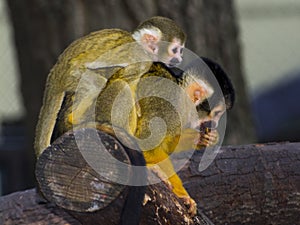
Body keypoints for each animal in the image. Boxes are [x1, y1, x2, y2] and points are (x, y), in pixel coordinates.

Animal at [34, 16, 185, 156]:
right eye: (175, 50)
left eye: (180, 51)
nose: (179, 59)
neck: (141, 46)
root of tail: (56, 73)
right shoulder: (138, 57)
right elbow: (123, 78)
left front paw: (137, 106)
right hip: (73, 75)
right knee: (99, 82)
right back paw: (76, 119)